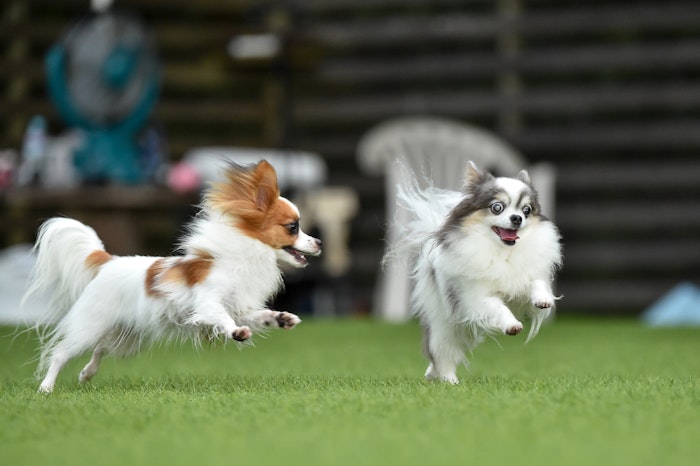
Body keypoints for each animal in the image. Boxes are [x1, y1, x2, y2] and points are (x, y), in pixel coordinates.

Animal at [23, 161, 322, 394]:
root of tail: (108, 261)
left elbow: (260, 316)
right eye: (292, 227)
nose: (319, 242)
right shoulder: (208, 304)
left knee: (100, 349)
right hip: (91, 326)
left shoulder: (240, 307)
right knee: (62, 352)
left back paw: (87, 373)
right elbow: (223, 318)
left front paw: (281, 318)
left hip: (127, 337)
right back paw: (46, 387)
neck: (245, 257)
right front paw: (236, 333)